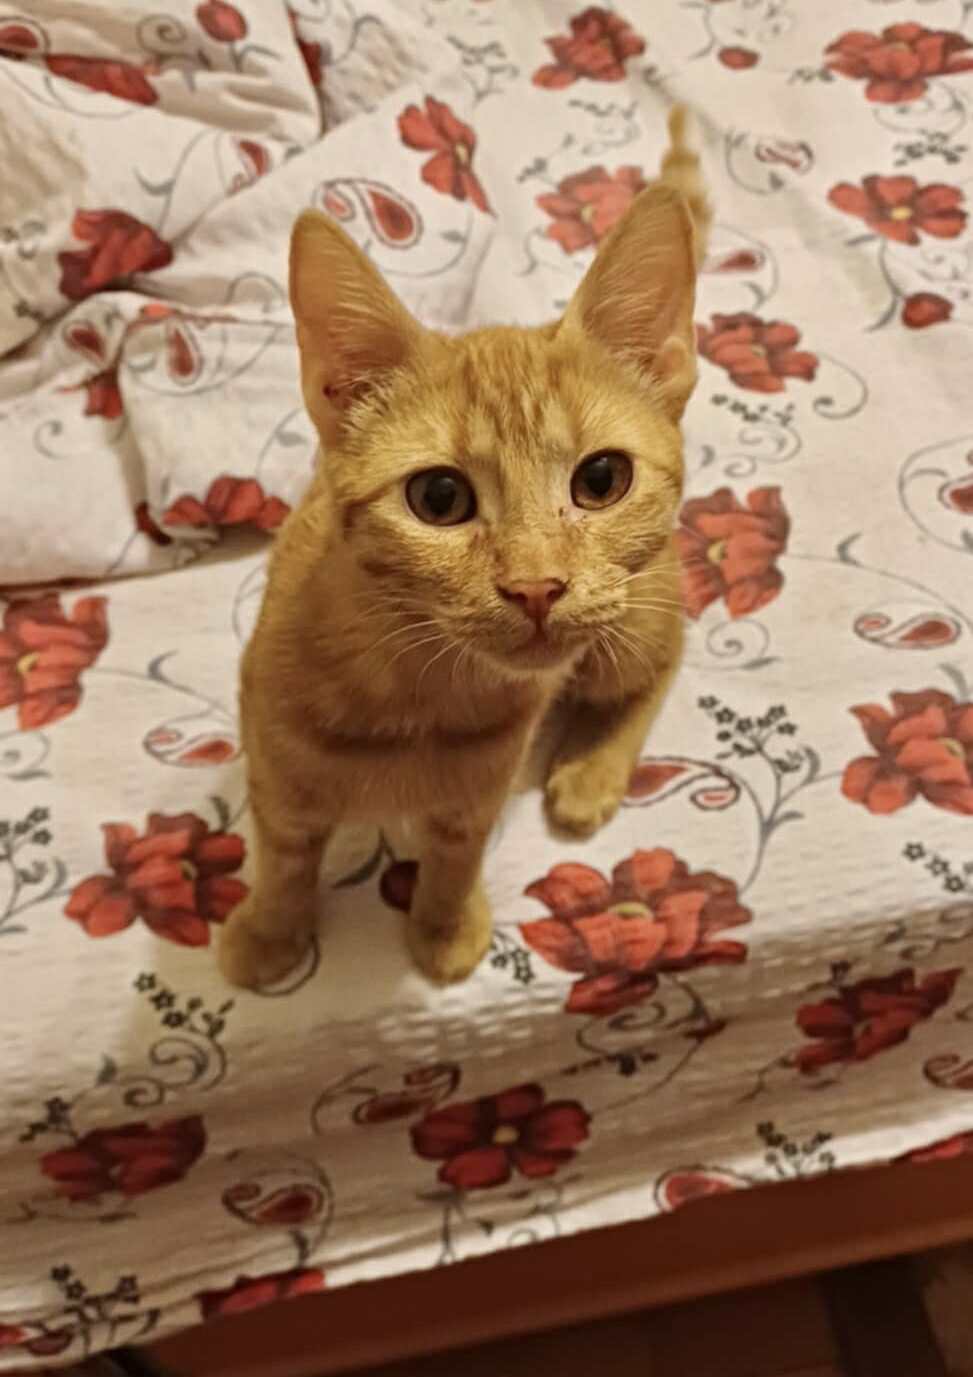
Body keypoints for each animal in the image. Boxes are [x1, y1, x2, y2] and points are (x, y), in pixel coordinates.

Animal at [219, 106, 711, 990]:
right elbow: (282, 855)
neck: (414, 692)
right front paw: (270, 933)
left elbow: (454, 856)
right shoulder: (272, 762)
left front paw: (442, 926)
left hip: (633, 609)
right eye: (439, 499)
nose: (536, 586)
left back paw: (592, 769)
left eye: (601, 479)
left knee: (661, 655)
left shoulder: (481, 787)